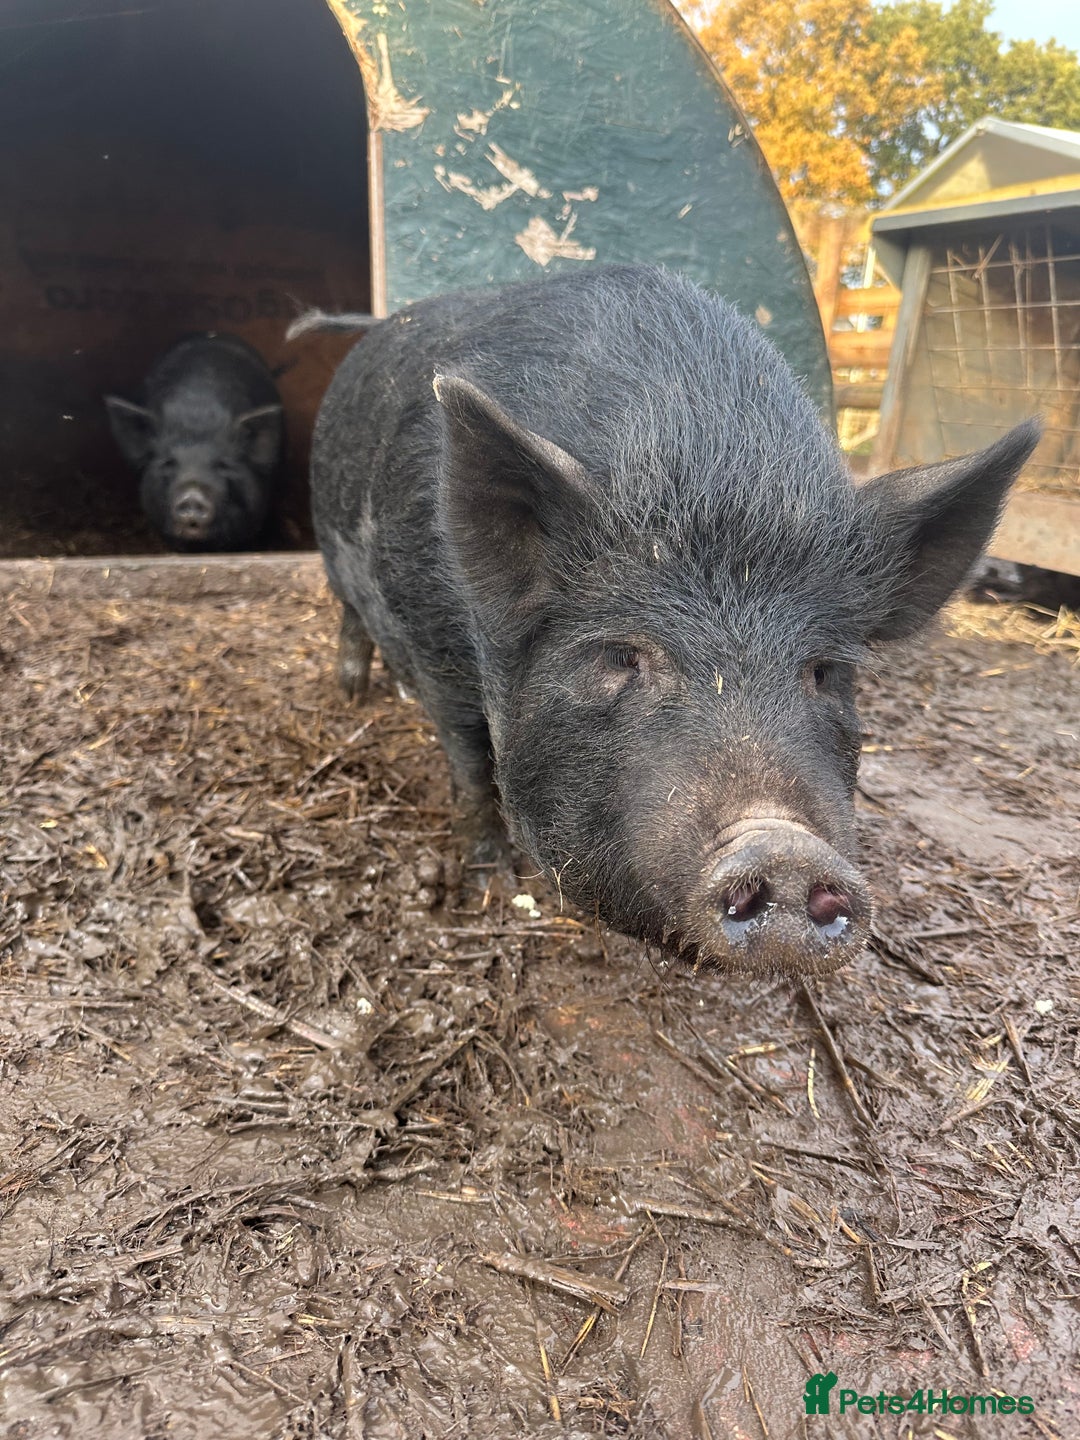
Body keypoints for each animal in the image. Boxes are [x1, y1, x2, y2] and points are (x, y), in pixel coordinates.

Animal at [308, 266, 1039, 979]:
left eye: (825, 670)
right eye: (622, 655)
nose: (784, 848)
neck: (705, 464)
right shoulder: (435, 647)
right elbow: (468, 767)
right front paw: (490, 884)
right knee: (349, 617)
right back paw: (352, 692)